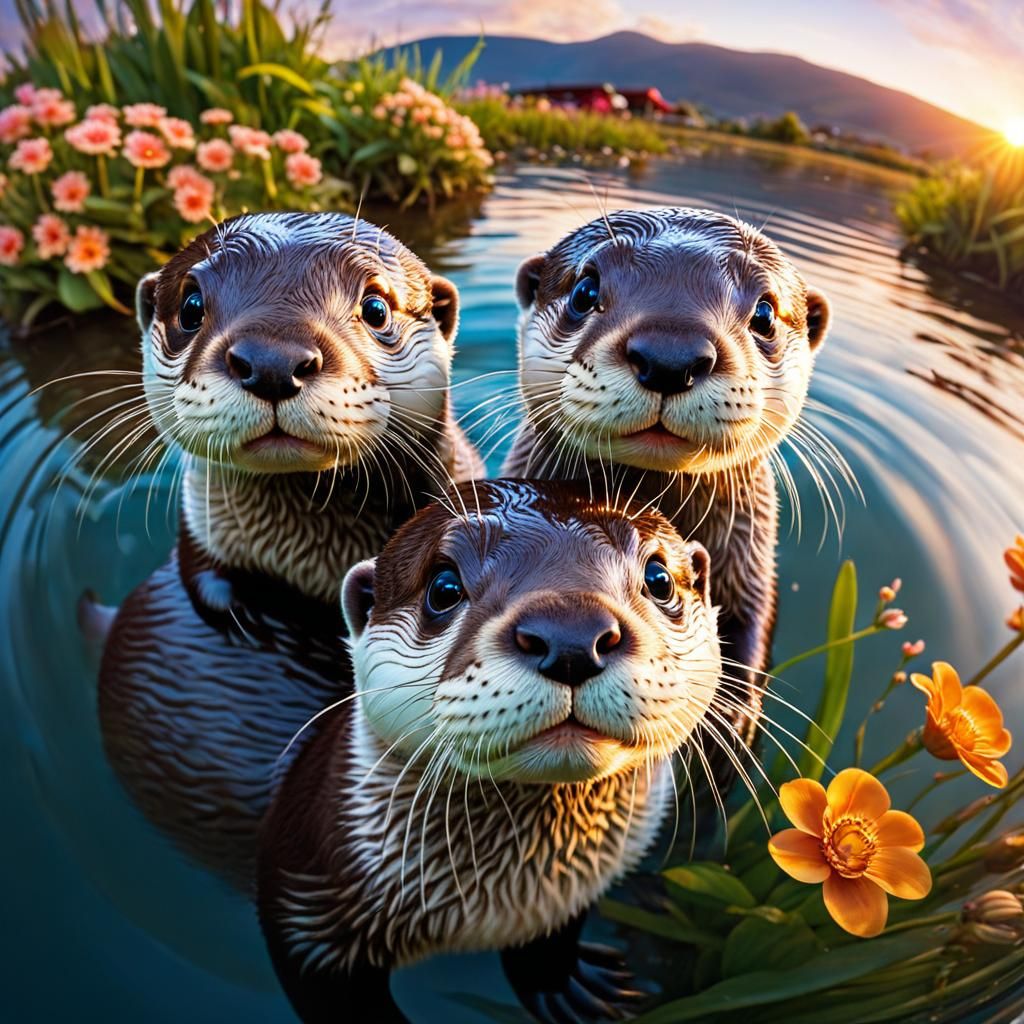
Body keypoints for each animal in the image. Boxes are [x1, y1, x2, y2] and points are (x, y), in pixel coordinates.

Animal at [93, 212, 482, 885]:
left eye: (376, 306)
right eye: (190, 306)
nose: (272, 361)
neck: (314, 559)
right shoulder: (201, 538)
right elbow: (209, 584)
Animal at [258, 479, 722, 1023]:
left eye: (659, 579)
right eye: (443, 589)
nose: (571, 638)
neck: (493, 907)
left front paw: (569, 988)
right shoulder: (303, 905)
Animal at [503, 208, 831, 751]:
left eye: (765, 313)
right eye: (584, 291)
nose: (670, 356)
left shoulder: (753, 564)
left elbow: (755, 622)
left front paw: (734, 714)